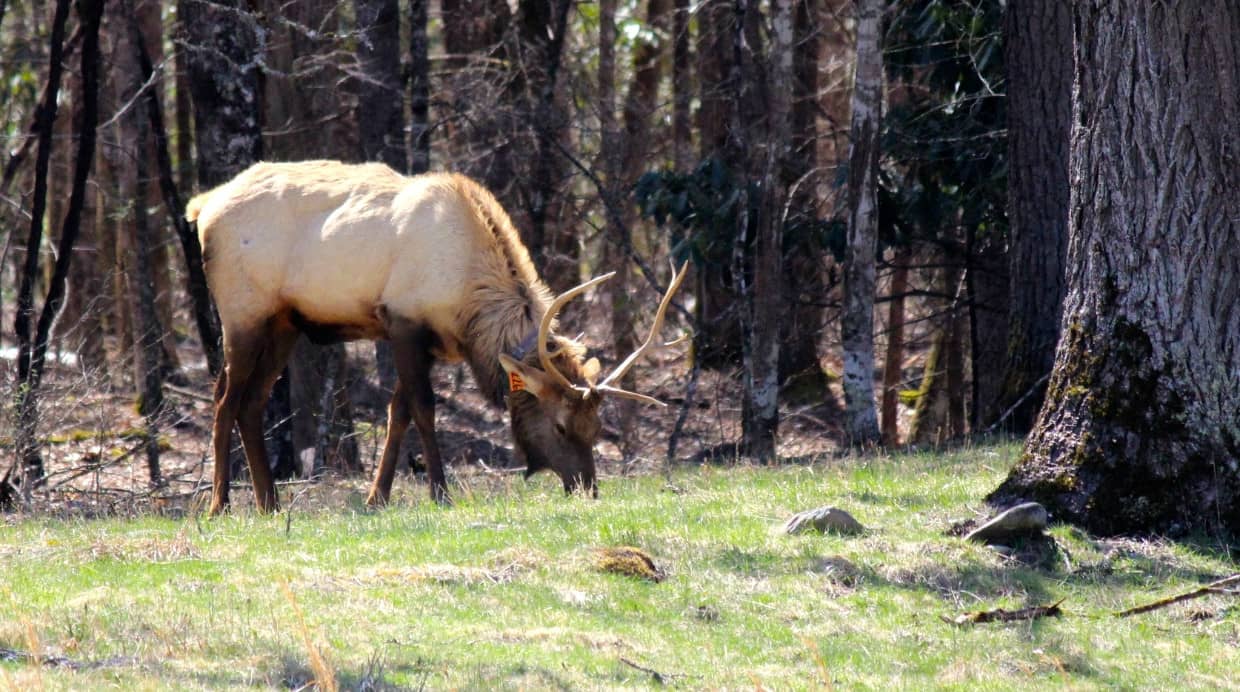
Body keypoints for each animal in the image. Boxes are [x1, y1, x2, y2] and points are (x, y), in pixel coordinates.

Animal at [183, 158, 689, 515]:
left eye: (597, 427)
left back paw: (269, 503)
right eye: (562, 426)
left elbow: (398, 412)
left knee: (251, 403)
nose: (588, 487)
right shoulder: (403, 321)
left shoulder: (423, 342)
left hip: (284, 323)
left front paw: (378, 497)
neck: (469, 309)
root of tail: (203, 206)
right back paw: (219, 505)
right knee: (224, 399)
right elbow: (424, 409)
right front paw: (439, 491)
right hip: (242, 313)